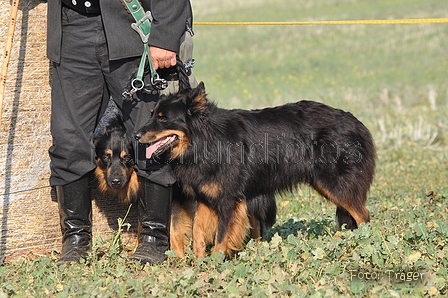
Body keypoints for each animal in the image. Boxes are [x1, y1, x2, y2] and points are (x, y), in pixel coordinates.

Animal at [137, 82, 378, 258]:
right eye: (152, 114)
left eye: (163, 119)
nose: (136, 135)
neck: (207, 140)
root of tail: (358, 123)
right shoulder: (206, 197)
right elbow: (198, 231)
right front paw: (198, 262)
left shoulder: (228, 199)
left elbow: (222, 235)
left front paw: (216, 262)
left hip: (334, 183)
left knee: (363, 215)